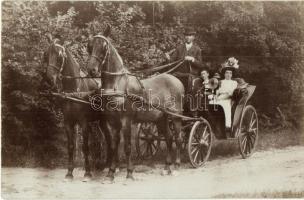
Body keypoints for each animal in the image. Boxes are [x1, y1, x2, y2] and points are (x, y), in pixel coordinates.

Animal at [44, 36, 111, 181]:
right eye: (46, 55)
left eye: (59, 56)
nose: (49, 78)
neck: (74, 89)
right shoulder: (68, 123)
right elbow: (70, 147)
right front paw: (69, 172)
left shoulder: (84, 123)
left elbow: (85, 146)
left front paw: (87, 172)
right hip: (101, 122)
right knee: (105, 140)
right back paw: (103, 165)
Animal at [86, 27, 185, 180]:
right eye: (89, 46)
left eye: (104, 46)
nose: (92, 70)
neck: (117, 84)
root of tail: (176, 80)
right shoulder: (112, 121)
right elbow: (113, 146)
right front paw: (111, 173)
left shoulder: (126, 120)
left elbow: (127, 147)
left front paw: (129, 173)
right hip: (160, 119)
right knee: (169, 138)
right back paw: (166, 167)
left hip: (175, 117)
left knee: (178, 139)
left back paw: (176, 167)